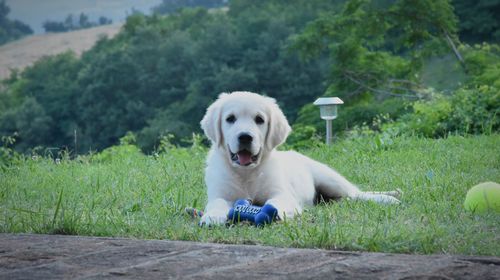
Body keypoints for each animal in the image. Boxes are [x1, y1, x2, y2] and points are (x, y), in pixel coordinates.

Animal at [199, 92, 398, 225]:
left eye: (259, 119)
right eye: (230, 119)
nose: (245, 137)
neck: (247, 173)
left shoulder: (282, 193)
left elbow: (274, 202)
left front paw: (273, 213)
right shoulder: (219, 193)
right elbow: (217, 203)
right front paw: (212, 216)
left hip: (328, 178)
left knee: (357, 193)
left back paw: (389, 198)